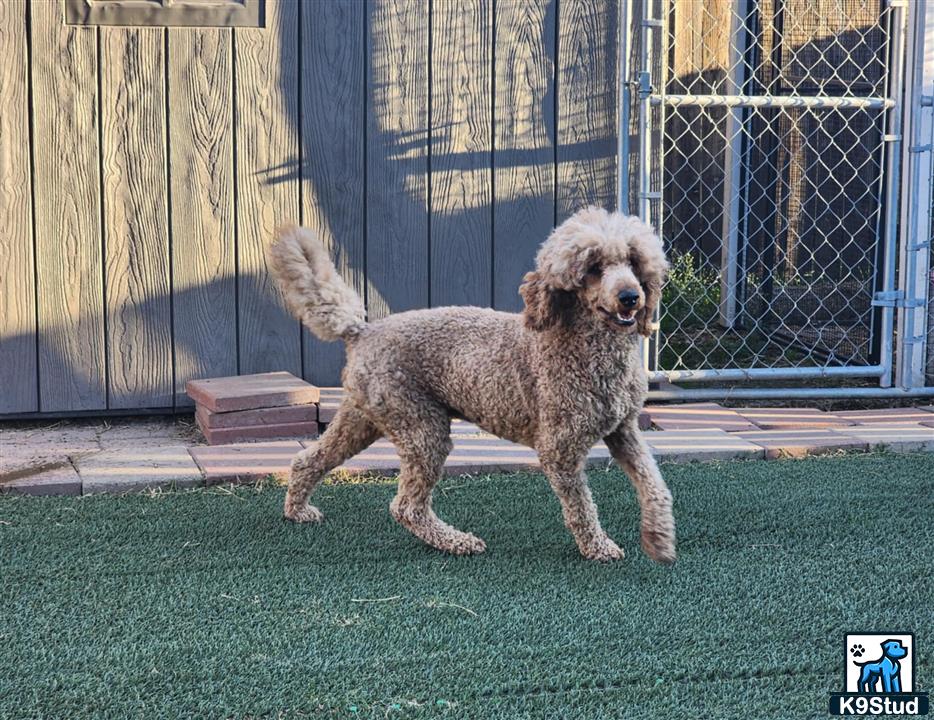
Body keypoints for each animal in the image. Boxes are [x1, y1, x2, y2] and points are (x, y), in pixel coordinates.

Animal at [266, 207, 676, 564]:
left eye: (634, 262)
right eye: (593, 268)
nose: (630, 297)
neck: (586, 345)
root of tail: (362, 330)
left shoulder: (624, 431)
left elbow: (655, 484)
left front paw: (659, 539)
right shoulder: (559, 449)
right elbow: (581, 507)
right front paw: (598, 548)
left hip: (364, 417)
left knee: (310, 459)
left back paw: (297, 510)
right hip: (421, 426)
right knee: (406, 507)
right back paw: (456, 541)